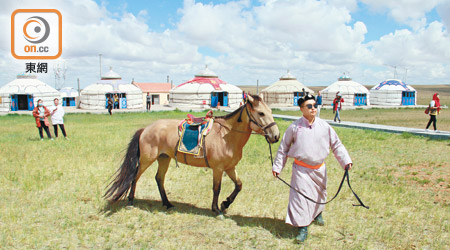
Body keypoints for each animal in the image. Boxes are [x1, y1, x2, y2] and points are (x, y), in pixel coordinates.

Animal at [105, 95, 280, 215]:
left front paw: (225, 204)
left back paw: (167, 204)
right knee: (135, 177)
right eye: (261, 113)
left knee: (159, 179)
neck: (226, 135)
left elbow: (239, 185)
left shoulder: (230, 167)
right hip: (147, 159)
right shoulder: (218, 168)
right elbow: (217, 188)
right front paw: (216, 209)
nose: (276, 136)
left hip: (164, 158)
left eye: (271, 112)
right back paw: (130, 202)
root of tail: (146, 129)